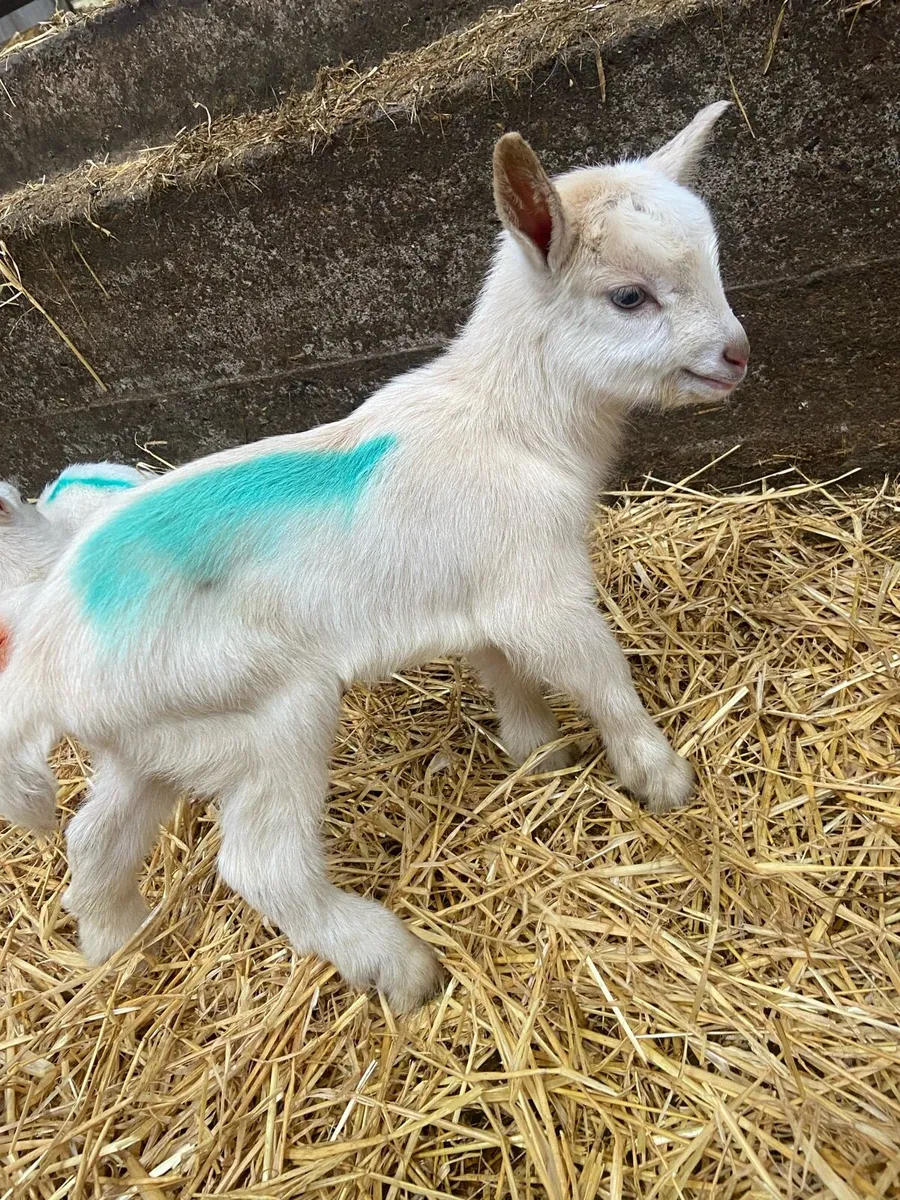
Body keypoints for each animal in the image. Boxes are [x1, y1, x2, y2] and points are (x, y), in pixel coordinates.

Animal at [0, 103, 748, 1010]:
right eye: (629, 296)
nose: (737, 354)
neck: (512, 421)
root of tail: (39, 658)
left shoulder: (480, 596)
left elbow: (505, 672)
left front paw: (538, 754)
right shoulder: (536, 587)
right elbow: (600, 675)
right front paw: (659, 777)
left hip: (153, 737)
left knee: (92, 839)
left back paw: (120, 949)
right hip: (264, 712)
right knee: (261, 865)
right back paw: (398, 966)